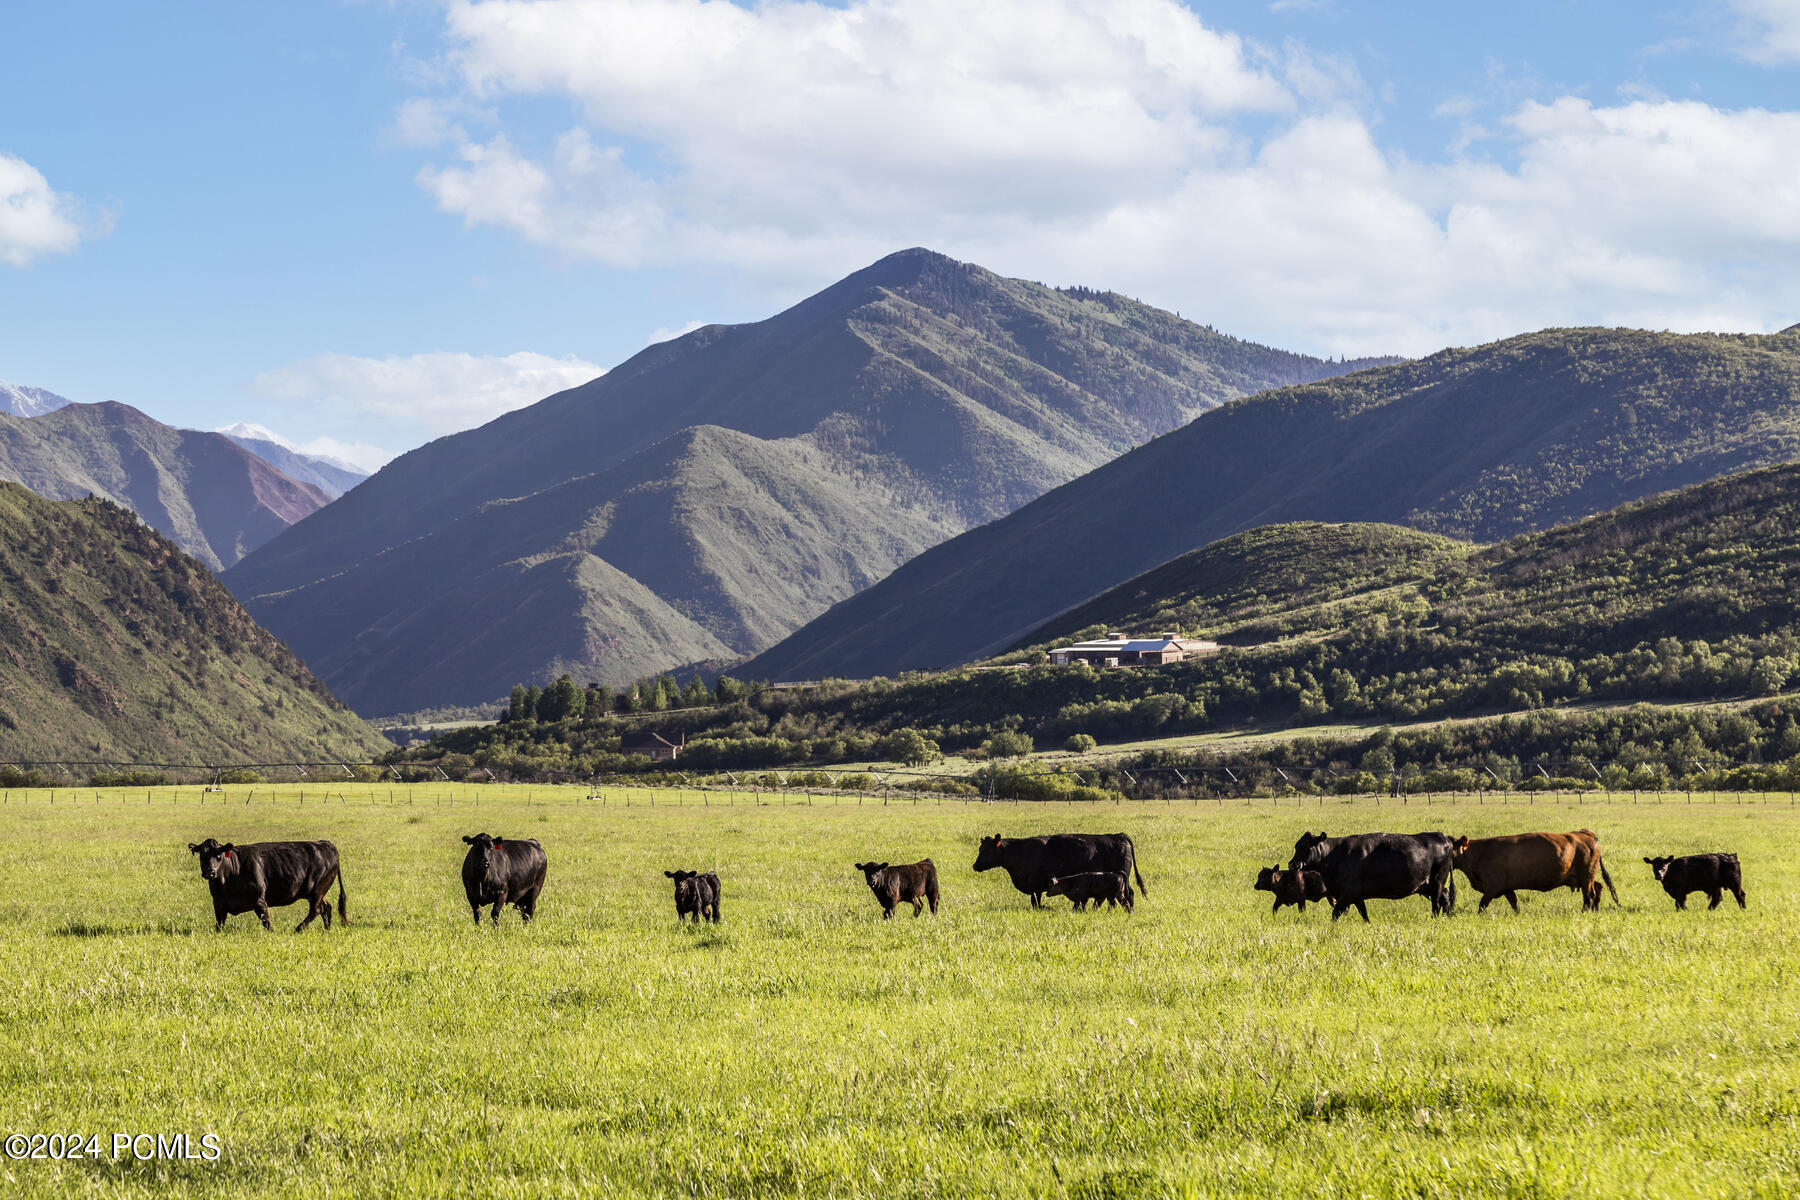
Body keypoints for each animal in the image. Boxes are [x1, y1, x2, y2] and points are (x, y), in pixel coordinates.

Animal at [187, 841, 347, 935]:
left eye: (219, 855)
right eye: (201, 855)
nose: (210, 872)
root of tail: (326, 844)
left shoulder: (259, 900)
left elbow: (267, 922)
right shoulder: (218, 904)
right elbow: (219, 925)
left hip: (317, 890)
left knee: (317, 909)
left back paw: (298, 929)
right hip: (317, 892)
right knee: (326, 907)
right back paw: (326, 929)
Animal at [979, 834, 1144, 910]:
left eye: (986, 850)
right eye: (981, 848)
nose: (975, 866)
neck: (1020, 850)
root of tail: (1118, 835)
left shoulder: (1034, 884)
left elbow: (1035, 898)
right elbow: (1037, 897)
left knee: (1125, 895)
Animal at [1288, 831, 1454, 928]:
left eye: (1306, 846)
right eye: (1296, 846)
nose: (1292, 864)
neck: (1336, 854)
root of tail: (1442, 836)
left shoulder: (1347, 894)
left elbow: (1335, 914)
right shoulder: (1356, 896)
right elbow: (1364, 913)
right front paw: (1368, 925)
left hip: (1437, 881)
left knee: (1436, 903)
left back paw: (1435, 919)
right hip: (1426, 886)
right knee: (1445, 898)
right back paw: (1445, 918)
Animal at [1447, 831, 1620, 913]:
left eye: (1451, 847)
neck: (1480, 853)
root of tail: (1584, 833)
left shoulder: (1492, 887)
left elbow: (1482, 905)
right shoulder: (1507, 888)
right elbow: (1515, 904)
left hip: (1586, 876)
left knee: (1589, 895)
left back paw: (1585, 911)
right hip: (1585, 877)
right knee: (1598, 888)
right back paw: (1595, 910)